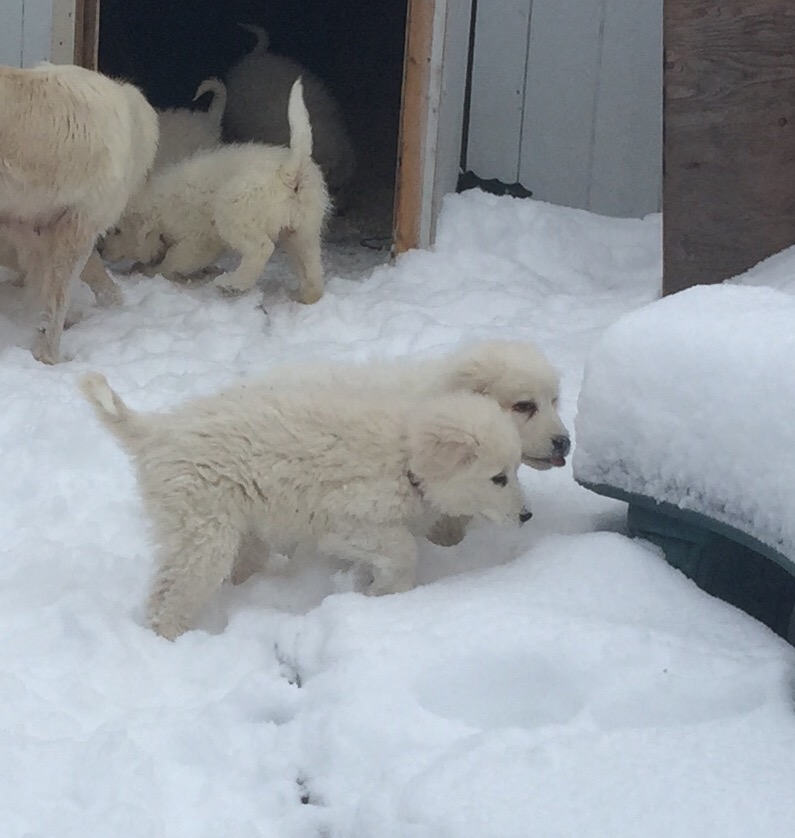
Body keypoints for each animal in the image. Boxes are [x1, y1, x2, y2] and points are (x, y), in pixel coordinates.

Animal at [80, 372, 530, 640]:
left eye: (516, 468)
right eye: (499, 477)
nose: (527, 516)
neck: (406, 453)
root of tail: (156, 431)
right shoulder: (345, 518)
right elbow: (403, 548)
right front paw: (387, 593)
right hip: (204, 533)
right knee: (170, 597)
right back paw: (169, 641)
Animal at [99, 79, 329, 302]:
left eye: (117, 231)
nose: (100, 250)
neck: (158, 207)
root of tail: (289, 170)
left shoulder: (197, 240)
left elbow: (175, 259)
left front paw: (153, 271)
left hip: (234, 212)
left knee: (261, 248)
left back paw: (232, 283)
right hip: (303, 231)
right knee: (311, 266)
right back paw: (306, 296)